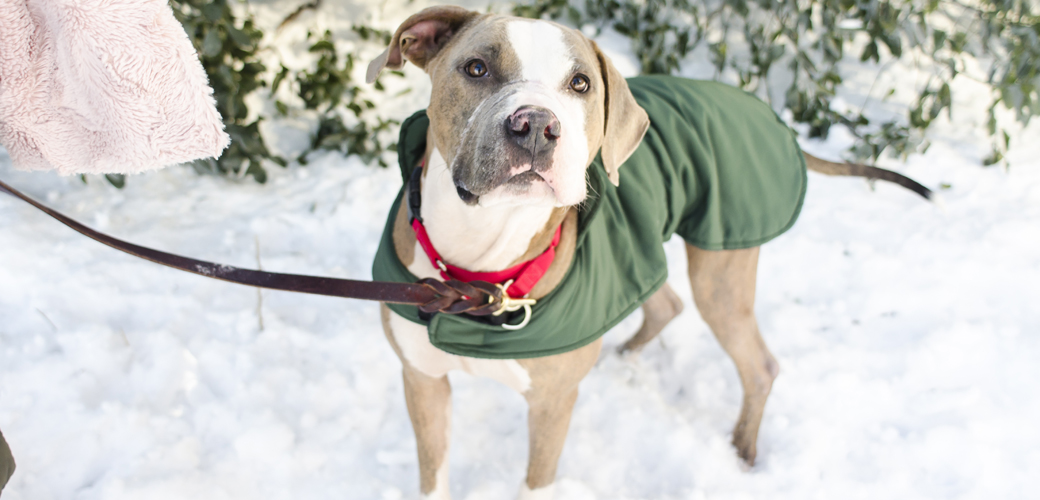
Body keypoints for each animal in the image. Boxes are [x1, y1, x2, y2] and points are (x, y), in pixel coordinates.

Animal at [366, 5, 935, 496]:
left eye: (580, 84)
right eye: (476, 67)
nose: (536, 127)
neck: (479, 271)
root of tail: (768, 113)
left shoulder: (551, 405)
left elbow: (535, 482)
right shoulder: (422, 384)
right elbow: (433, 476)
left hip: (720, 268)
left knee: (757, 362)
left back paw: (742, 449)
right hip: (640, 248)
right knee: (667, 302)